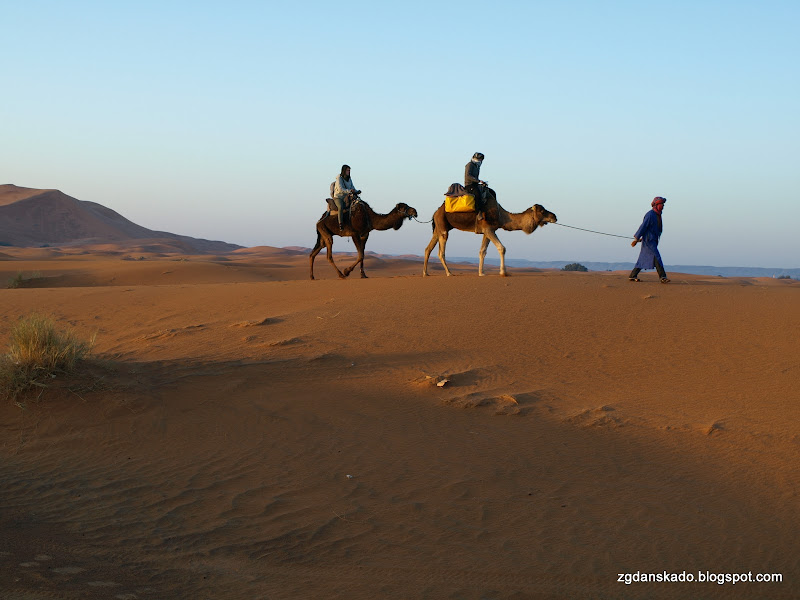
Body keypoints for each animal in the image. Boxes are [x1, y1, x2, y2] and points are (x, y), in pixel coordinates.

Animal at [424, 186, 556, 278]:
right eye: (542, 211)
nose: (554, 216)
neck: (501, 215)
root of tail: (435, 212)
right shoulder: (488, 229)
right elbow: (502, 248)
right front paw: (503, 272)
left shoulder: (488, 231)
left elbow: (482, 251)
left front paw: (481, 273)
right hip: (443, 226)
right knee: (441, 252)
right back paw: (449, 273)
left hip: (439, 227)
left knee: (428, 248)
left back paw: (425, 273)